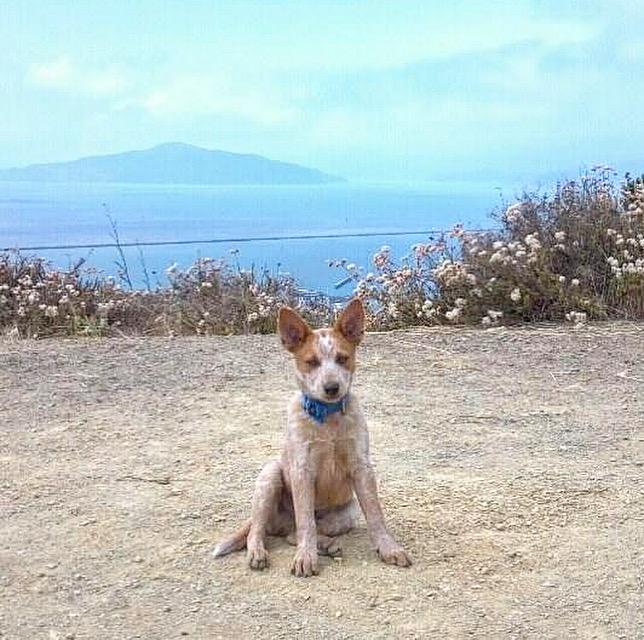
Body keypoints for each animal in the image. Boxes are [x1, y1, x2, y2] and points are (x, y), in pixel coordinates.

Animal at [213, 298, 411, 576]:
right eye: (311, 361)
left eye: (342, 358)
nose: (332, 388)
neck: (327, 418)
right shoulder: (302, 470)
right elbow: (306, 522)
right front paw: (305, 557)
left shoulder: (362, 468)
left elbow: (375, 514)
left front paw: (388, 548)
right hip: (270, 477)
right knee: (263, 530)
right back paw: (259, 552)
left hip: (345, 514)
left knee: (296, 534)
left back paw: (328, 545)